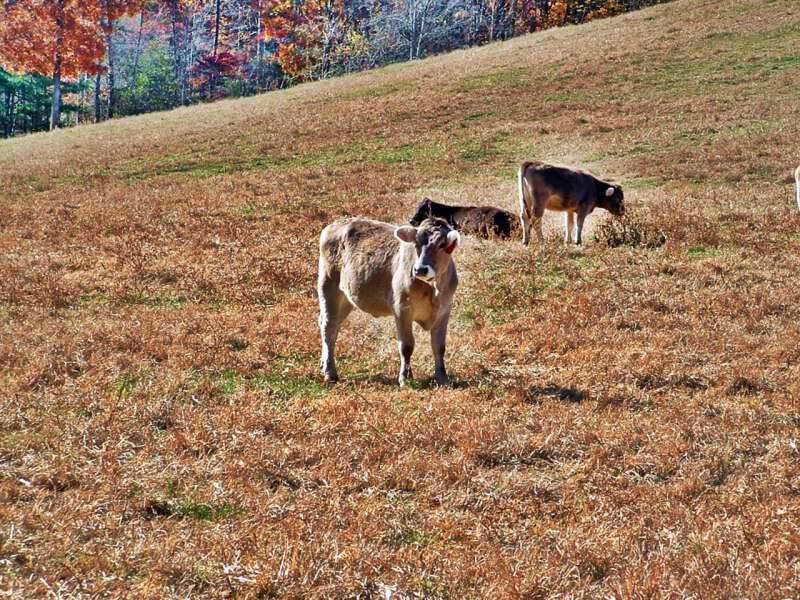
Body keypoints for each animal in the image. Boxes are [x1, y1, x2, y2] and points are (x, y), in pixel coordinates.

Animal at [316, 218, 460, 386]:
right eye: (416, 243)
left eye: (442, 245)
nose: (420, 269)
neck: (433, 289)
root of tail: (337, 223)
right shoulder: (402, 309)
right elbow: (406, 346)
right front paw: (405, 378)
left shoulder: (444, 311)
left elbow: (439, 347)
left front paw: (443, 378)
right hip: (328, 285)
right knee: (328, 327)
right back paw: (330, 373)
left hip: (346, 298)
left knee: (332, 327)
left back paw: (323, 364)